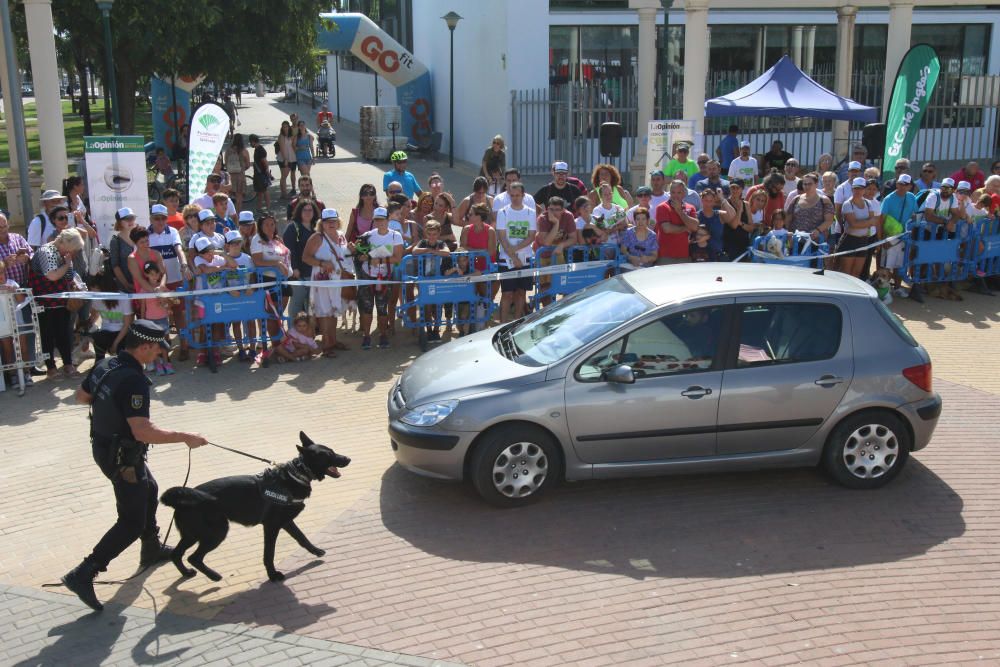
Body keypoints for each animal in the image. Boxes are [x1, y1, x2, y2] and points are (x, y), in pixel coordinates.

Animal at [160, 436, 352, 580]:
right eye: (328, 455)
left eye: (333, 451)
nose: (348, 459)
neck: (296, 474)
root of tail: (181, 498)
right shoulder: (272, 526)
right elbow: (269, 553)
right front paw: (273, 575)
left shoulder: (286, 522)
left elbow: (302, 537)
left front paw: (315, 551)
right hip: (216, 532)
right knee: (193, 557)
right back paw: (214, 576)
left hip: (191, 535)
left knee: (175, 554)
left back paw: (186, 573)